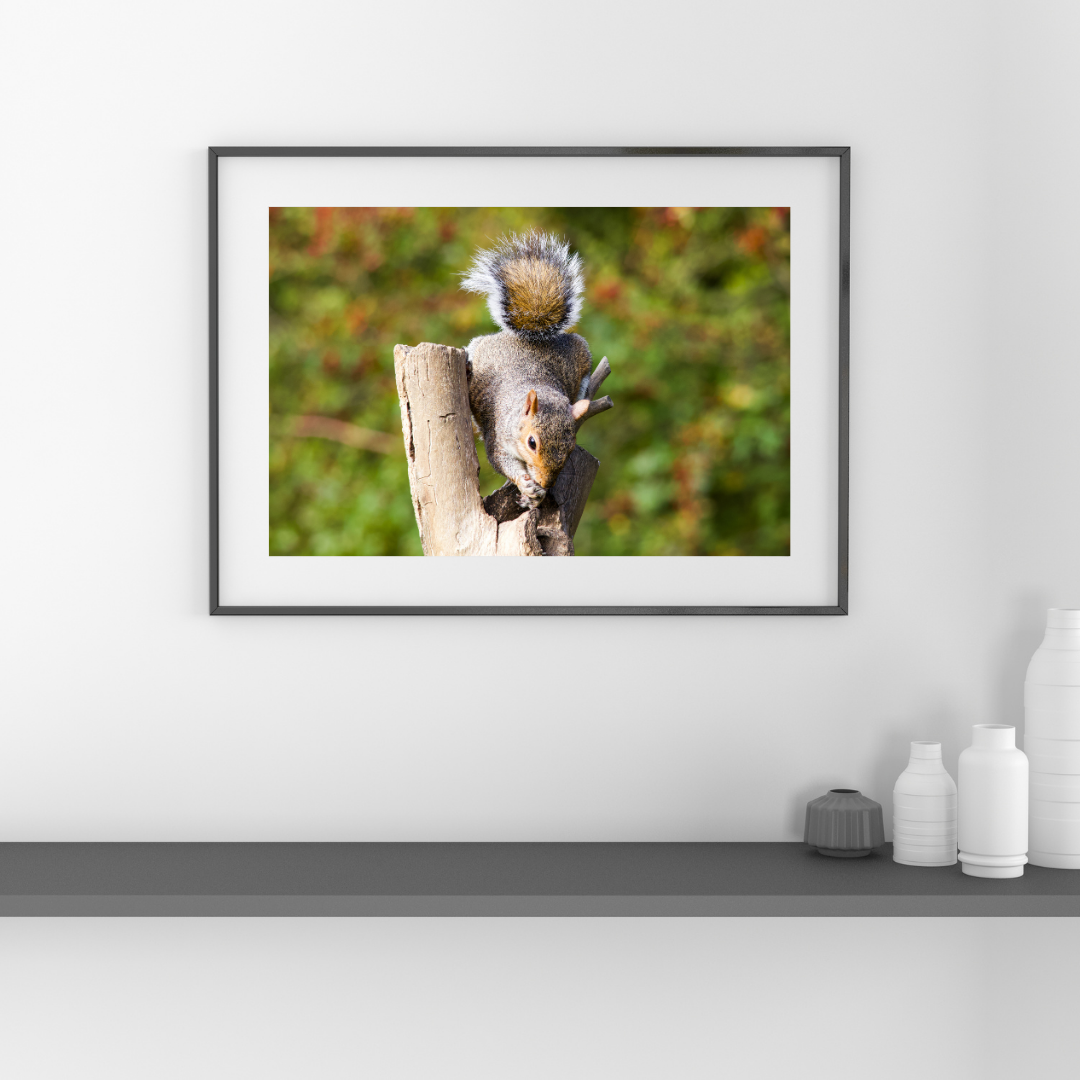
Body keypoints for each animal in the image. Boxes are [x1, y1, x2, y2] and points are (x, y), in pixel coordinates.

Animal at [460, 231, 596, 510]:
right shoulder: (499, 437)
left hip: (581, 353)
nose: (545, 482)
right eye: (532, 442)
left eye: (570, 448)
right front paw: (526, 484)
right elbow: (502, 462)